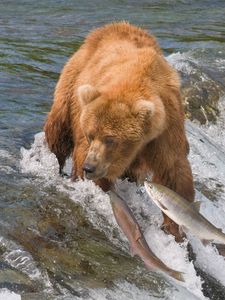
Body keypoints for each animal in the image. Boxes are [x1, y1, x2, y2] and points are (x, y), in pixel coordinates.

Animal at [44, 21, 195, 241]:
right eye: (91, 135)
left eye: (110, 139)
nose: (89, 167)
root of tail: (110, 26)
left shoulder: (166, 127)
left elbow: (173, 171)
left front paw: (175, 228)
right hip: (72, 83)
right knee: (58, 130)